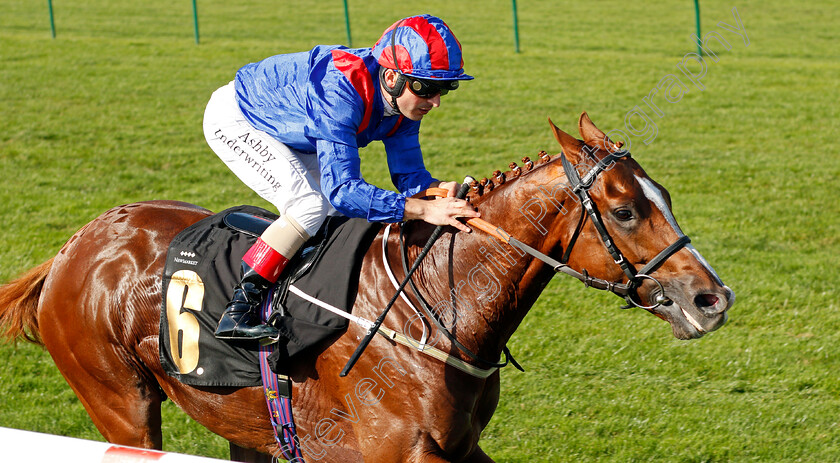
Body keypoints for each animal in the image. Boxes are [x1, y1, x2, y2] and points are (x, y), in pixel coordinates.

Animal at [0, 114, 732, 462]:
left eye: (663, 196)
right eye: (625, 210)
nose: (712, 299)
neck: (439, 307)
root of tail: (74, 245)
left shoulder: (461, 447)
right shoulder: (395, 451)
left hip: (241, 418)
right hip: (119, 401)